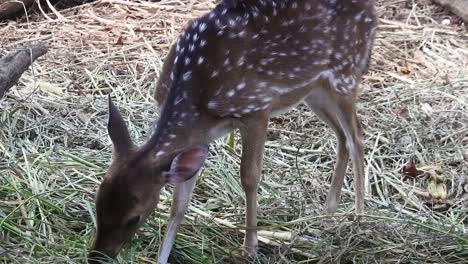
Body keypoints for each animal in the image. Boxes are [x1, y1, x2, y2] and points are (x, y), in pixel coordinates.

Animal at [88, 1, 376, 262]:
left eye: (133, 218)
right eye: (97, 202)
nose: (97, 256)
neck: (197, 103)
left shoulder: (256, 108)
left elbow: (249, 177)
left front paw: (250, 248)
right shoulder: (200, 137)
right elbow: (179, 205)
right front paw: (162, 257)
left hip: (345, 74)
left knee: (357, 137)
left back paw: (360, 217)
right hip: (315, 90)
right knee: (341, 136)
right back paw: (328, 211)